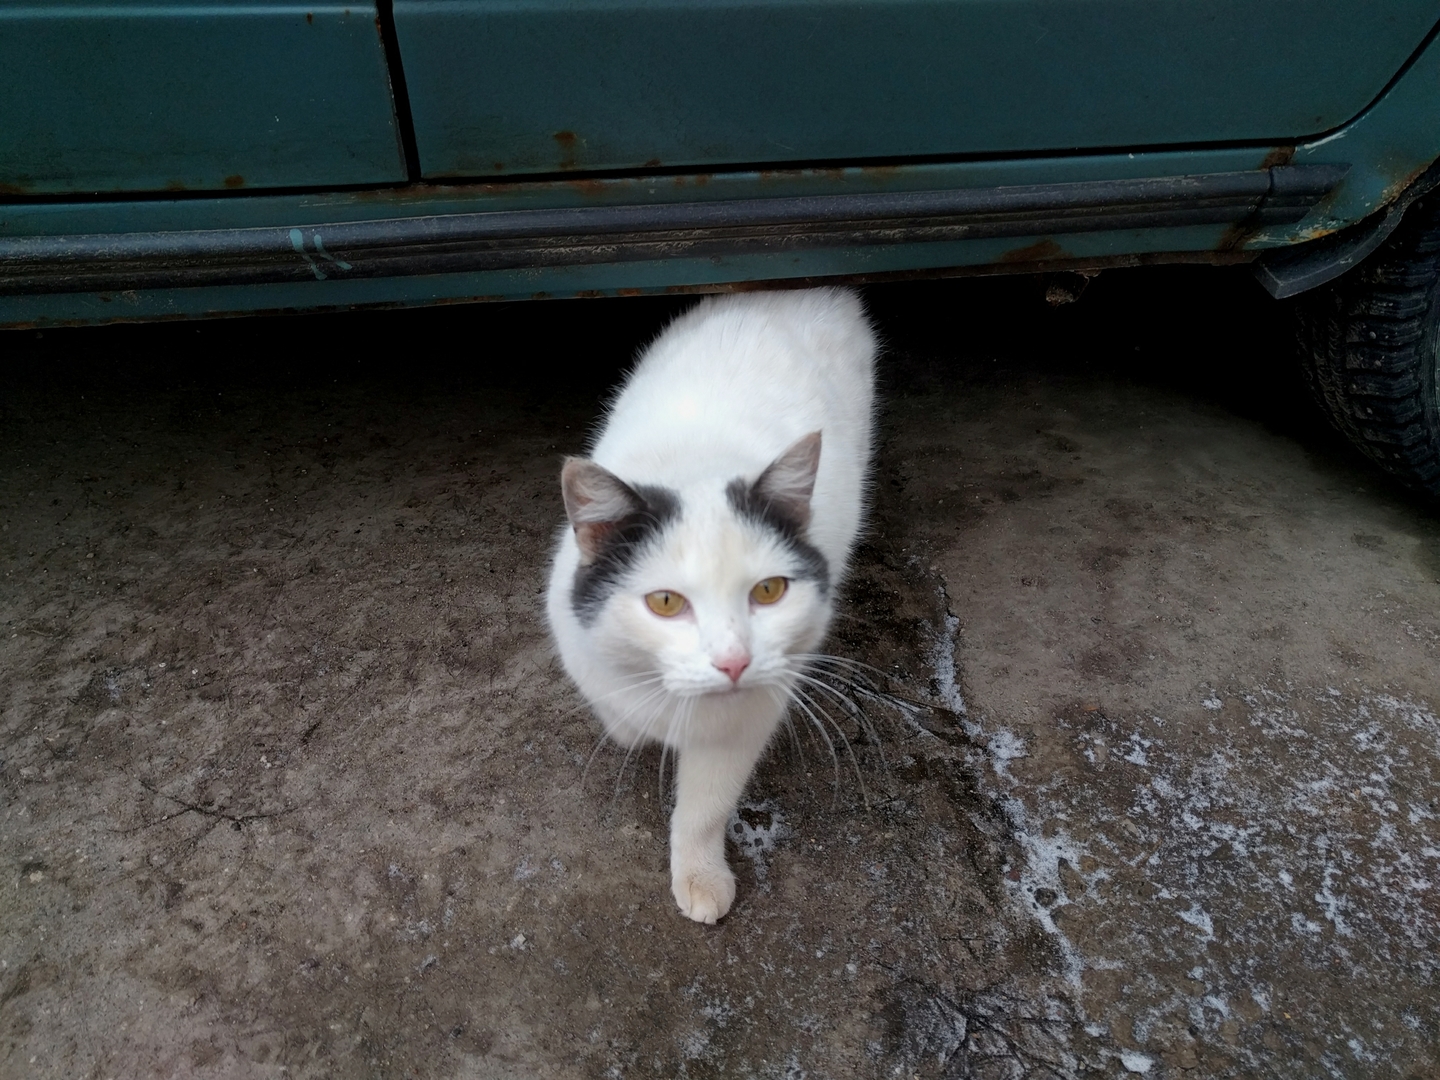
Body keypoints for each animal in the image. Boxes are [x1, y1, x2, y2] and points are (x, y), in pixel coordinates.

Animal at [546, 287, 877, 923]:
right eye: (665, 601)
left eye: (769, 591)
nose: (733, 662)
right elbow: (620, 718)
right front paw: (633, 730)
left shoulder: (748, 716)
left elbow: (705, 807)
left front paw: (700, 876)